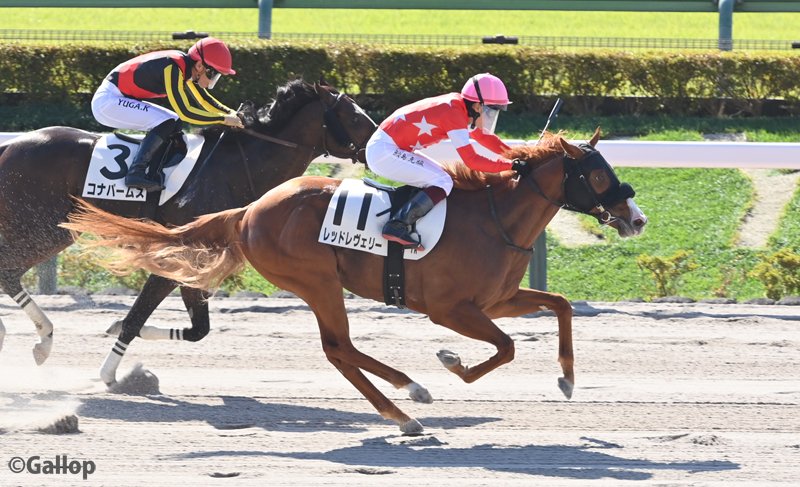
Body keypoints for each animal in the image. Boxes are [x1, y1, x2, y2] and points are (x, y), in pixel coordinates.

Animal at [0, 78, 378, 382]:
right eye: (355, 116)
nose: (379, 145)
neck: (236, 168)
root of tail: (11, 145)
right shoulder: (177, 253)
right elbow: (140, 316)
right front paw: (108, 374)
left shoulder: (198, 260)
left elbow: (198, 329)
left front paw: (118, 331)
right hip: (41, 227)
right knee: (8, 271)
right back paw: (43, 340)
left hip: (52, 229)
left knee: (10, 271)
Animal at [63, 130, 647, 434]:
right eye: (598, 174)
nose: (636, 218)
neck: (494, 219)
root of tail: (251, 208)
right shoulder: (450, 309)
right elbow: (504, 349)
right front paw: (452, 363)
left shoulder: (497, 299)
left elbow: (562, 304)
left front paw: (567, 379)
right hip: (318, 281)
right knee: (338, 347)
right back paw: (405, 404)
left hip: (321, 284)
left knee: (341, 349)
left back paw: (405, 399)